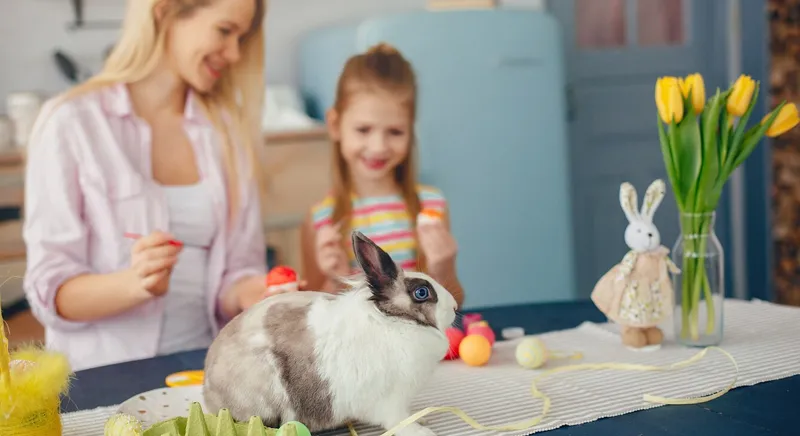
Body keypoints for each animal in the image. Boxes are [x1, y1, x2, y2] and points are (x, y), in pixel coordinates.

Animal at [203, 230, 460, 434]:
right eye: (422, 293)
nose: (456, 307)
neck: (395, 320)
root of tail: (208, 392)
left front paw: (422, 418)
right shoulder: (390, 400)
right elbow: (397, 420)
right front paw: (421, 431)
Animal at [588, 179, 680, 350]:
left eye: (652, 231)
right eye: (638, 231)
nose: (649, 235)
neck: (647, 253)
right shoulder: (632, 258)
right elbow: (625, 268)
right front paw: (620, 277)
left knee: (648, 326)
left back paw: (654, 336)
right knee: (629, 326)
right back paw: (635, 339)